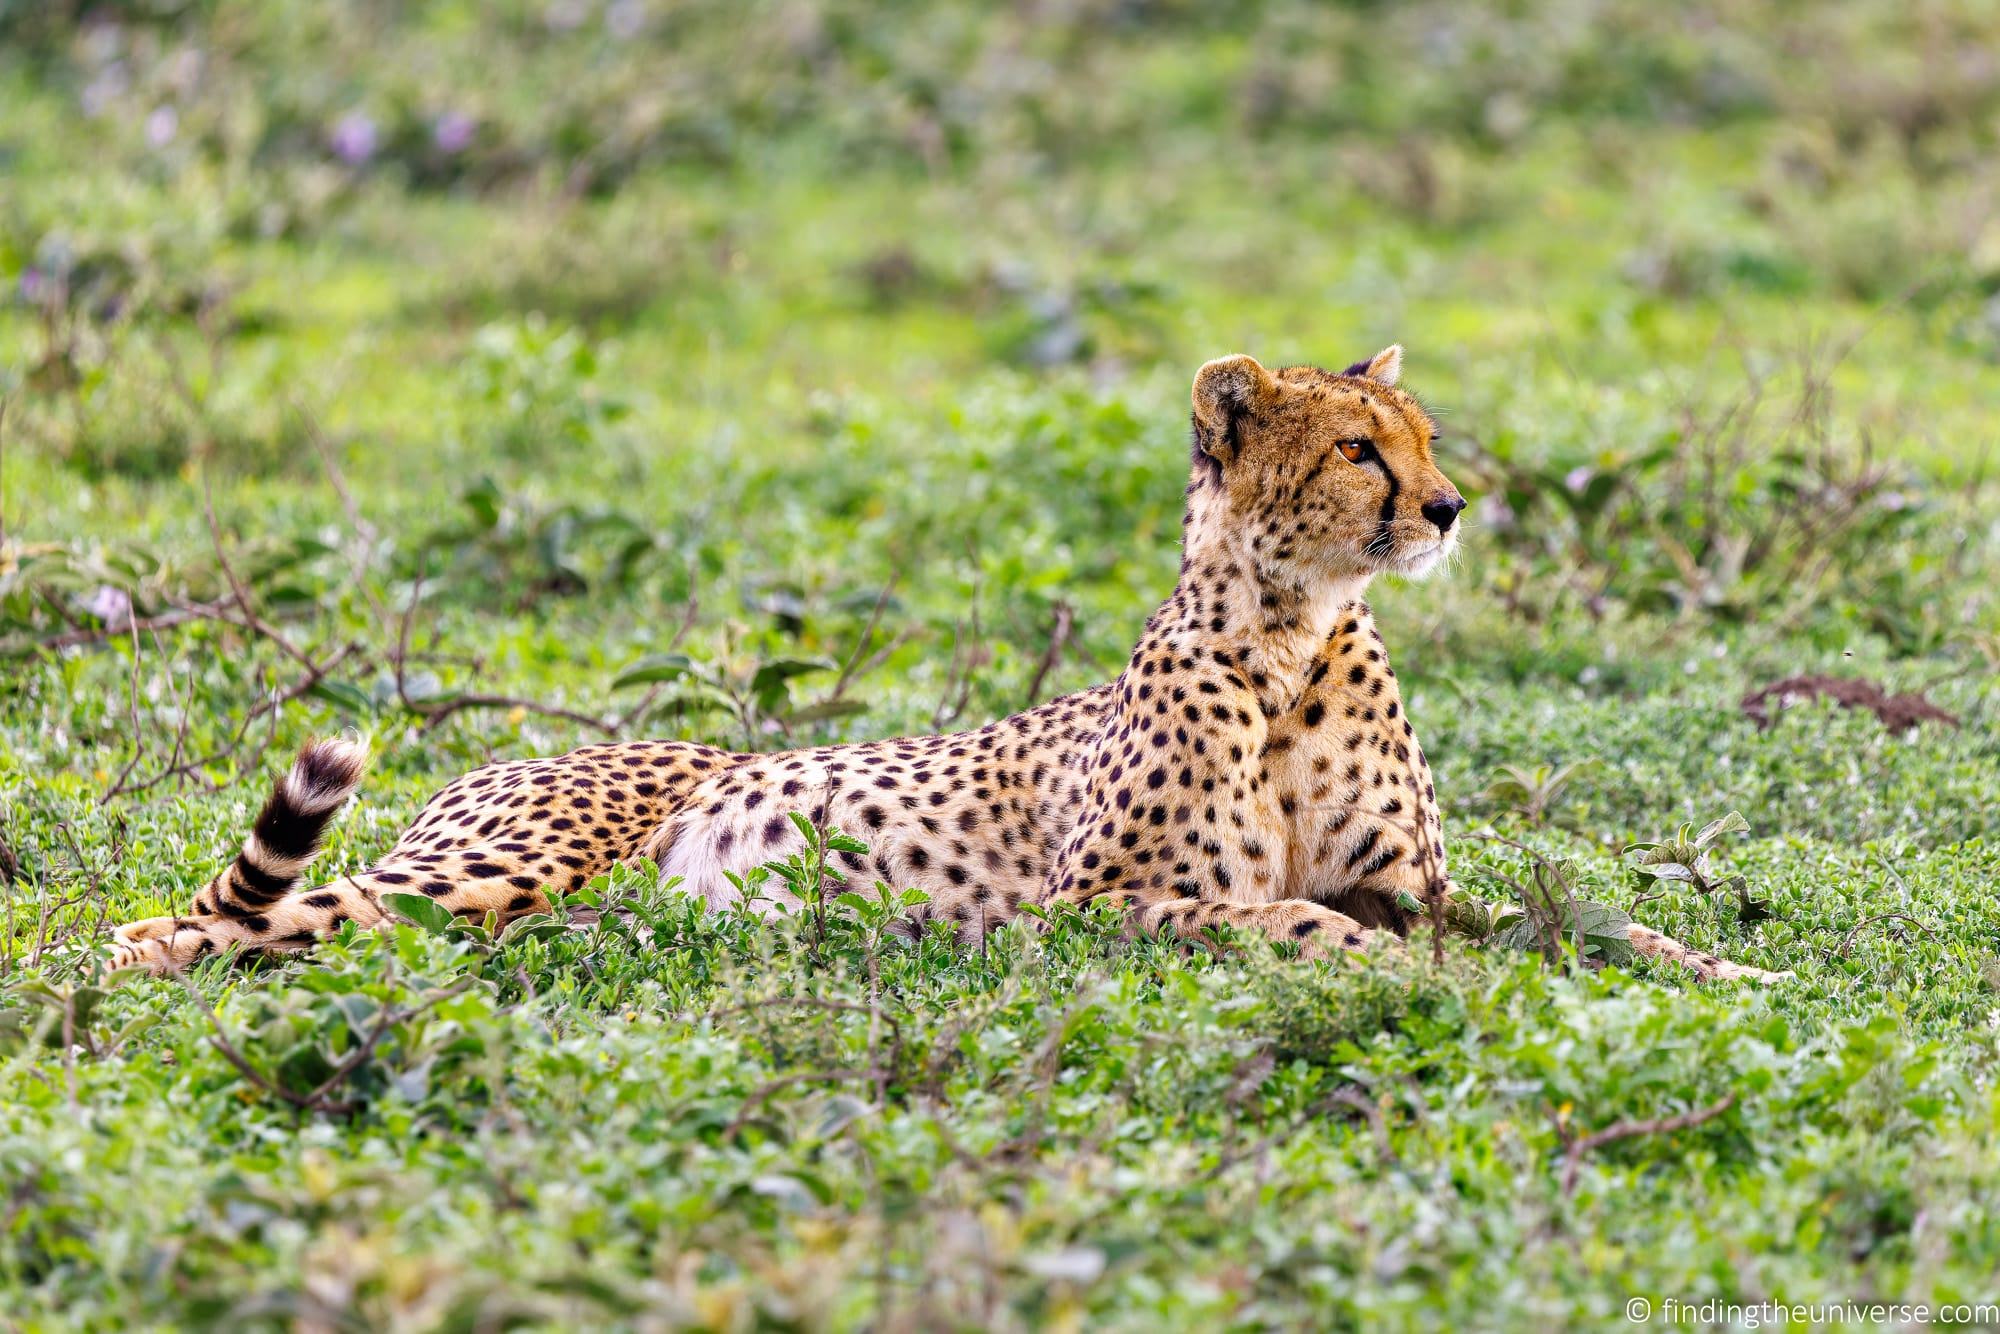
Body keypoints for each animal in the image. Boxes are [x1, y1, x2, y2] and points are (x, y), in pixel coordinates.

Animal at [113, 350, 1784, 988]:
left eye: (1429, 437)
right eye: (1364, 448)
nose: (1447, 508)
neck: (1298, 635)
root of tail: (521, 750)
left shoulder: (1418, 880)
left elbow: (1598, 921)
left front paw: (1737, 969)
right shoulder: (1091, 905)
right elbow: (1296, 919)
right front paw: (1405, 976)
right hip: (479, 872)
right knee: (194, 920)